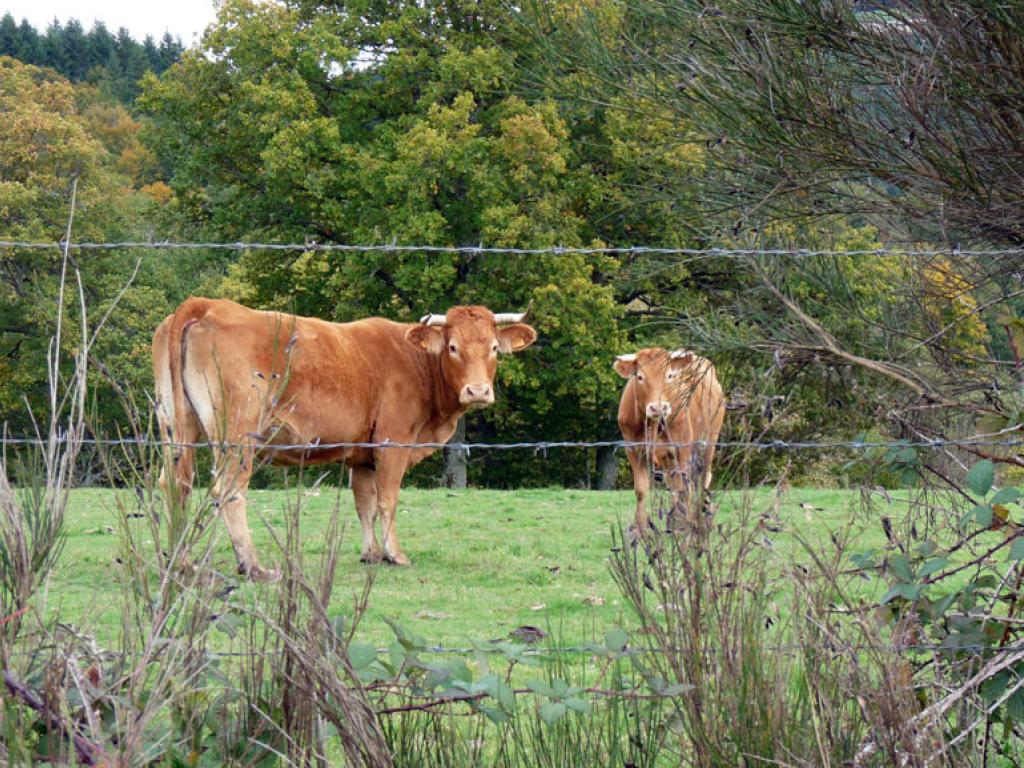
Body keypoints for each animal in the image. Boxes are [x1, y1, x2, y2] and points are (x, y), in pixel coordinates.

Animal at [153, 296, 536, 581]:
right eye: (453, 347)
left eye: (494, 348)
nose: (477, 391)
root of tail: (205, 305)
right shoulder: (393, 442)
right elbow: (387, 500)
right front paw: (395, 555)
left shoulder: (362, 453)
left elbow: (364, 502)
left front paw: (371, 553)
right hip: (237, 433)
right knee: (229, 489)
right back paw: (253, 566)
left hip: (176, 427)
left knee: (175, 484)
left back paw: (180, 561)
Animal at [610, 348, 724, 528]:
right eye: (640, 377)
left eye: (669, 375)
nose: (659, 408)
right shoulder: (634, 450)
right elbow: (641, 490)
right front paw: (640, 527)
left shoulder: (682, 450)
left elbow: (685, 489)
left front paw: (686, 524)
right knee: (674, 487)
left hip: (709, 443)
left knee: (701, 480)